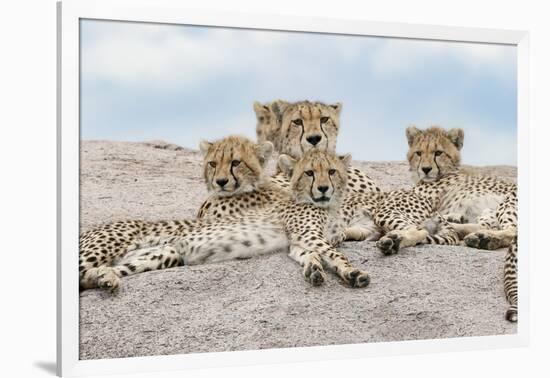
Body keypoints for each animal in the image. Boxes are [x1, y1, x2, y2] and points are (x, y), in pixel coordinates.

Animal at [78, 149, 370, 290]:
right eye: (309, 173)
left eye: (331, 171)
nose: (323, 188)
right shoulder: (308, 235)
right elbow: (335, 253)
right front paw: (354, 272)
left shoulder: (299, 241)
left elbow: (310, 255)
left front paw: (314, 269)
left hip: (163, 255)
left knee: (95, 276)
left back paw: (105, 278)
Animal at [406, 126, 516, 322]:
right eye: (418, 153)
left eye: (438, 153)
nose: (426, 169)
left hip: (507, 203)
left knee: (511, 229)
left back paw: (484, 239)